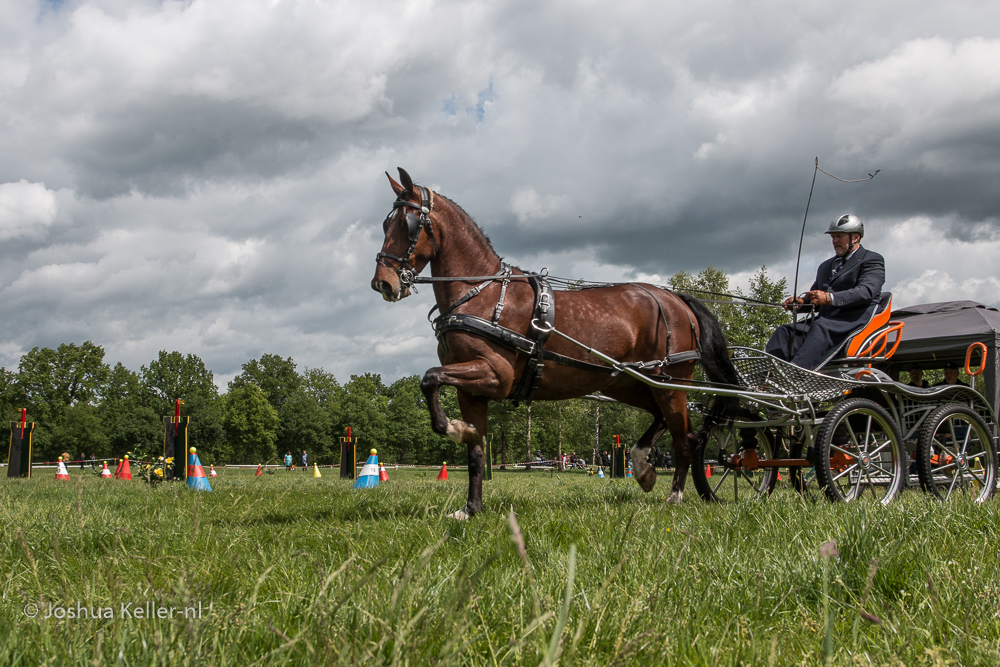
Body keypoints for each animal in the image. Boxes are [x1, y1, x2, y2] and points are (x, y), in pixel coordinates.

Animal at [372, 170, 740, 520]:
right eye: (386, 223)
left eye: (407, 224)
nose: (383, 284)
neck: (482, 295)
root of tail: (676, 299)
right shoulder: (471, 389)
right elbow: (475, 450)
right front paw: (471, 505)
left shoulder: (496, 375)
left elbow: (430, 377)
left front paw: (453, 429)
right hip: (627, 382)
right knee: (661, 418)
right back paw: (643, 467)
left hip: (670, 381)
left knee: (686, 439)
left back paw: (675, 495)